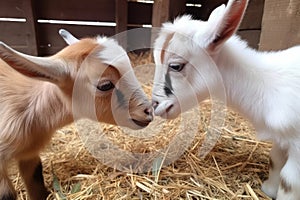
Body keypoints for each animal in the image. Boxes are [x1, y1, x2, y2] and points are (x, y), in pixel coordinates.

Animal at [152, 0, 300, 199]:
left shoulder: (298, 147)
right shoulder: (282, 138)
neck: (267, 85)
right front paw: (269, 189)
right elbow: (275, 160)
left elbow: (289, 181)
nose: (155, 105)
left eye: (176, 66)